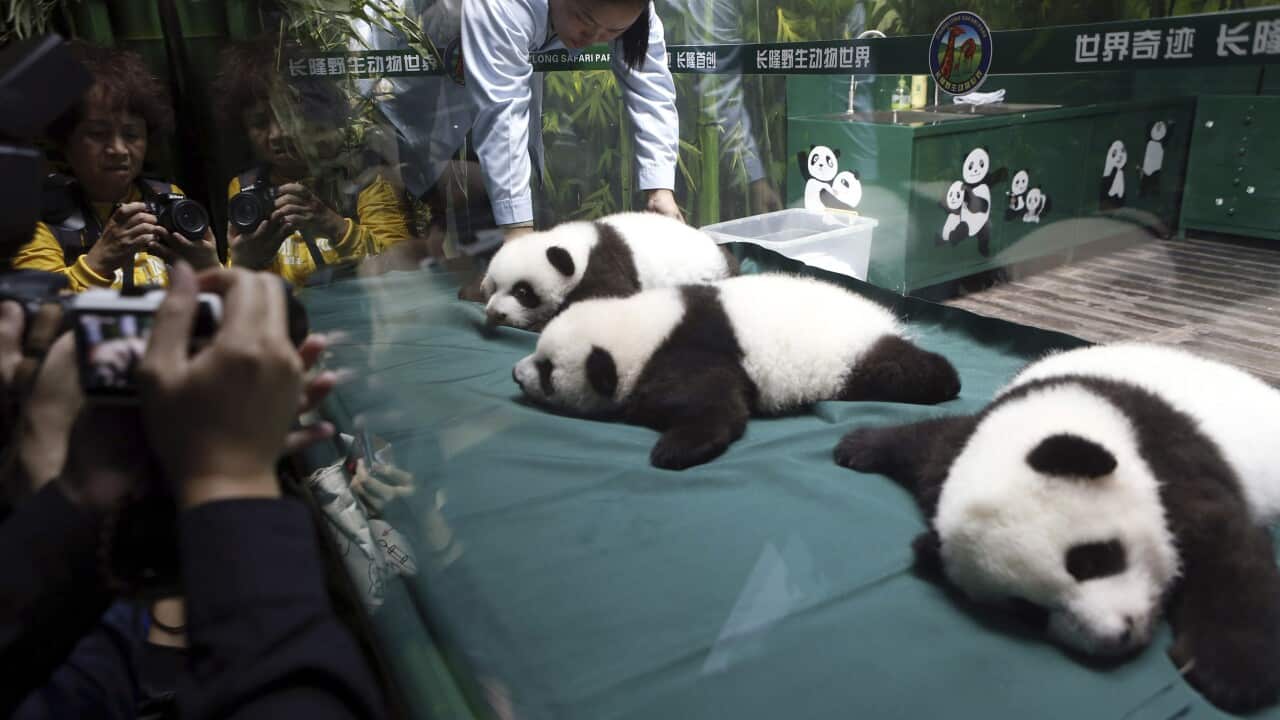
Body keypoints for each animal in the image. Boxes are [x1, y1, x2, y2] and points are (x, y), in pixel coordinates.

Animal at [514, 273, 962, 470]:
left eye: (548, 370)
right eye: (539, 356)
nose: (517, 375)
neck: (637, 329)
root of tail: (887, 318)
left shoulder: (690, 350)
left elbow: (714, 405)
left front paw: (674, 448)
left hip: (852, 355)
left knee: (896, 370)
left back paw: (946, 379)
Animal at [834, 342, 1280, 714]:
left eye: (1094, 559)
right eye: (1028, 610)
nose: (1115, 636)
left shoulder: (1169, 457)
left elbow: (1227, 554)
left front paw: (1229, 673)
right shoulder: (958, 451)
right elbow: (929, 444)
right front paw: (859, 446)